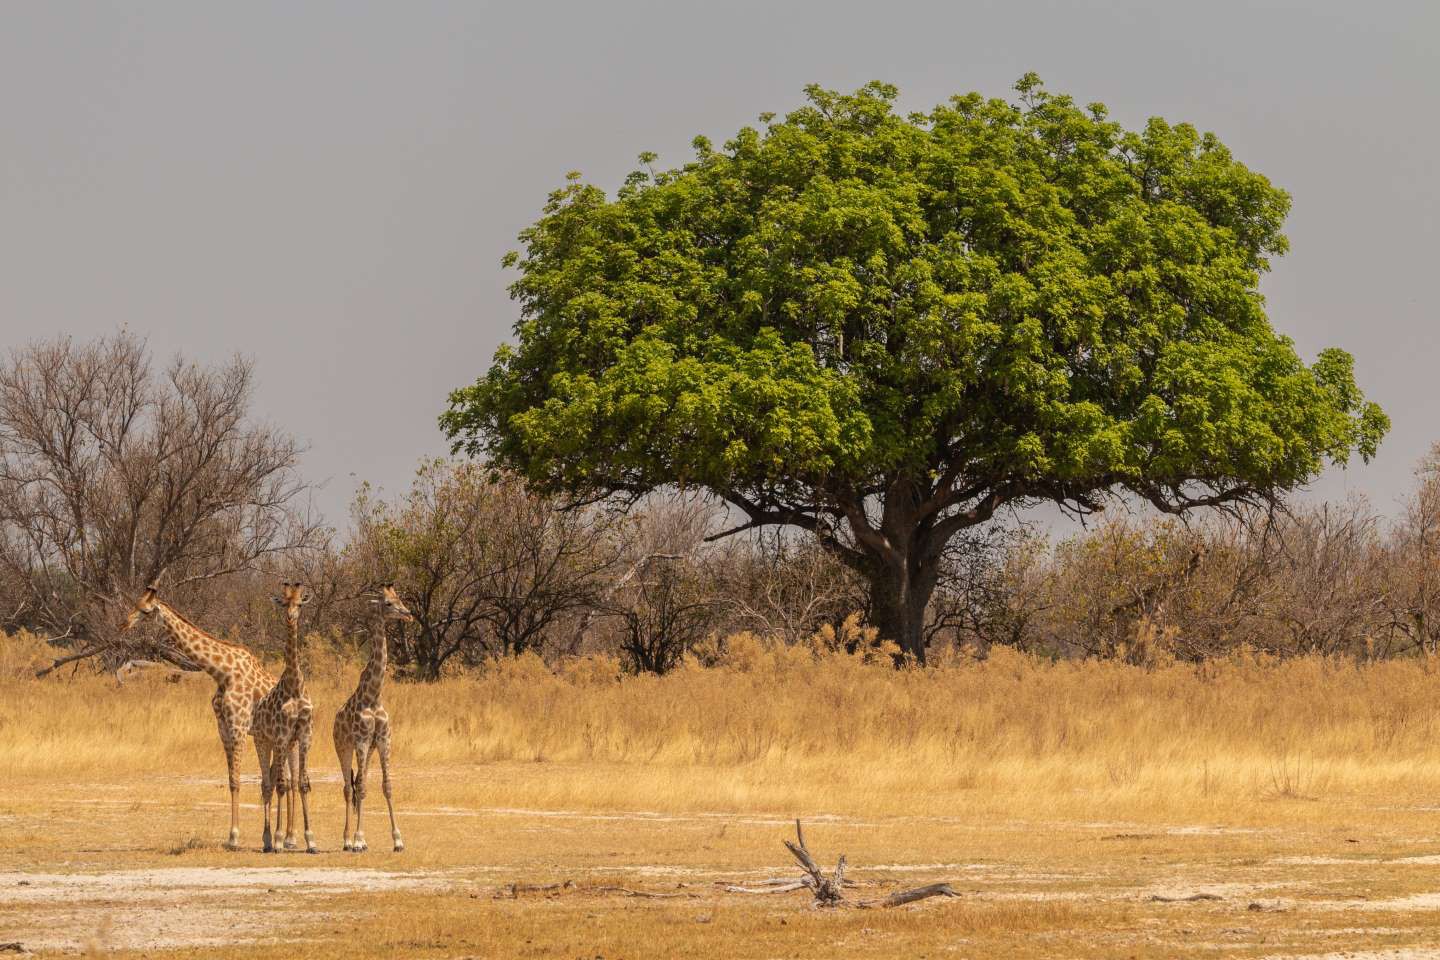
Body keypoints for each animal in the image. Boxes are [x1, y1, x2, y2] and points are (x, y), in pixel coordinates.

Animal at [122, 587, 273, 846]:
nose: (125, 624)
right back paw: (271, 838)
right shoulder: (223, 728)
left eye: (145, 610)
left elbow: (238, 780)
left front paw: (234, 836)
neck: (223, 673)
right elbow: (232, 780)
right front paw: (232, 835)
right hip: (266, 738)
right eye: (134, 604)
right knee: (273, 780)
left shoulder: (239, 727)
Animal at [250, 581, 318, 852]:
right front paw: (278, 838)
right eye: (284, 604)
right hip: (263, 741)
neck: (295, 687)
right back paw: (268, 839)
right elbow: (280, 784)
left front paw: (311, 840)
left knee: (283, 782)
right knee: (267, 783)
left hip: (288, 745)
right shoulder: (279, 736)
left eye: (300, 604)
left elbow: (302, 784)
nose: (291, 617)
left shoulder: (304, 734)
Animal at [331, 581, 411, 852]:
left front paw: (398, 839)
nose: (408, 614)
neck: (375, 696)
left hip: (369, 749)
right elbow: (362, 788)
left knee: (357, 782)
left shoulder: (383, 740)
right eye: (388, 603)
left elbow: (386, 786)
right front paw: (358, 840)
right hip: (343, 747)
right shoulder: (362, 740)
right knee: (348, 787)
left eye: (400, 599)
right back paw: (346, 840)